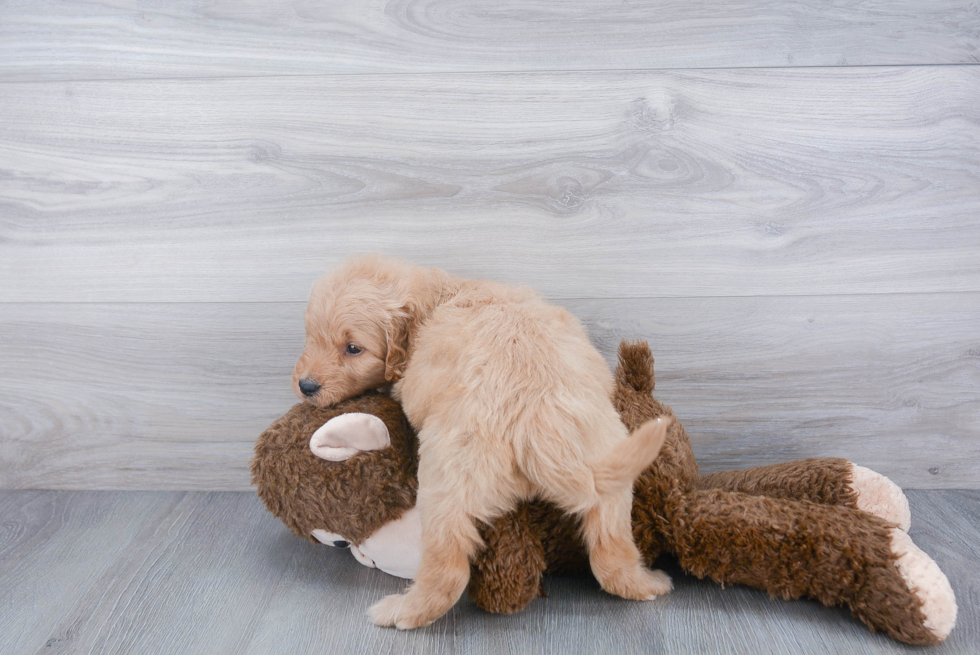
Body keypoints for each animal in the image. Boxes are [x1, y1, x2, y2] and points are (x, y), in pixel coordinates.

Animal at [294, 256, 668, 632]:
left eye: (353, 348)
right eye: (311, 337)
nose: (305, 386)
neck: (436, 296)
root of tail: (538, 425)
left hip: (445, 480)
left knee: (448, 572)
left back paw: (400, 612)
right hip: (611, 459)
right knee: (611, 549)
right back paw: (647, 583)